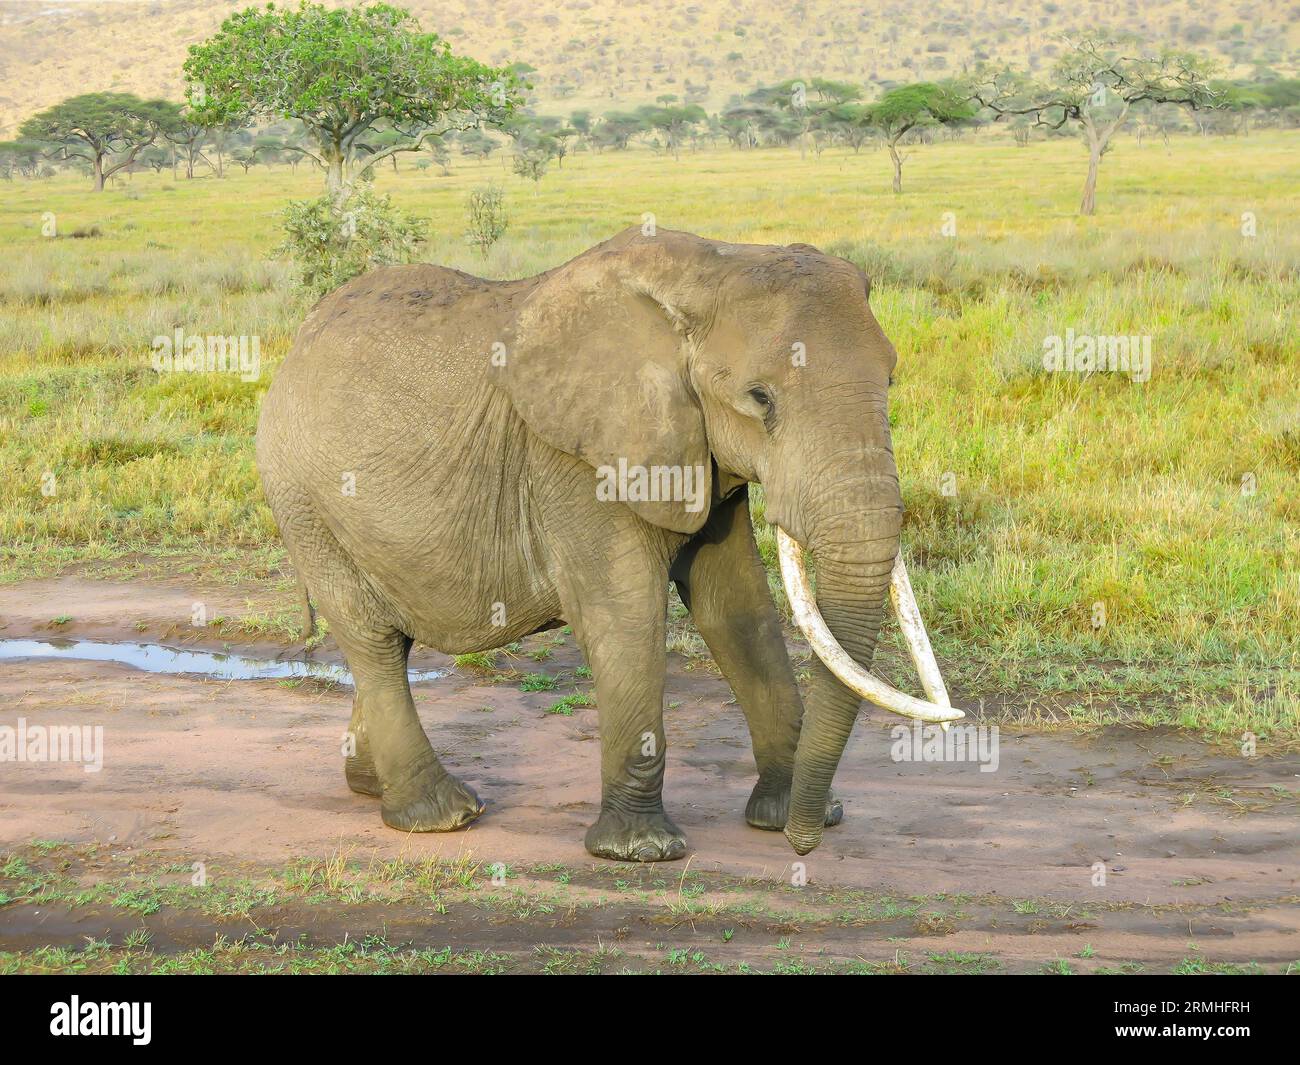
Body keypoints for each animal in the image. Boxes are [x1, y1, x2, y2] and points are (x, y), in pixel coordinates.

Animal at [256, 227, 967, 868]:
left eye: (891, 380)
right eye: (760, 398)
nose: (804, 844)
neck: (714, 267)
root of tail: (295, 346)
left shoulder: (698, 449)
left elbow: (738, 609)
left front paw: (781, 815)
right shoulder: (574, 458)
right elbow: (624, 614)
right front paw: (640, 851)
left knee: (389, 641)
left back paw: (369, 785)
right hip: (301, 499)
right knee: (371, 638)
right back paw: (442, 815)